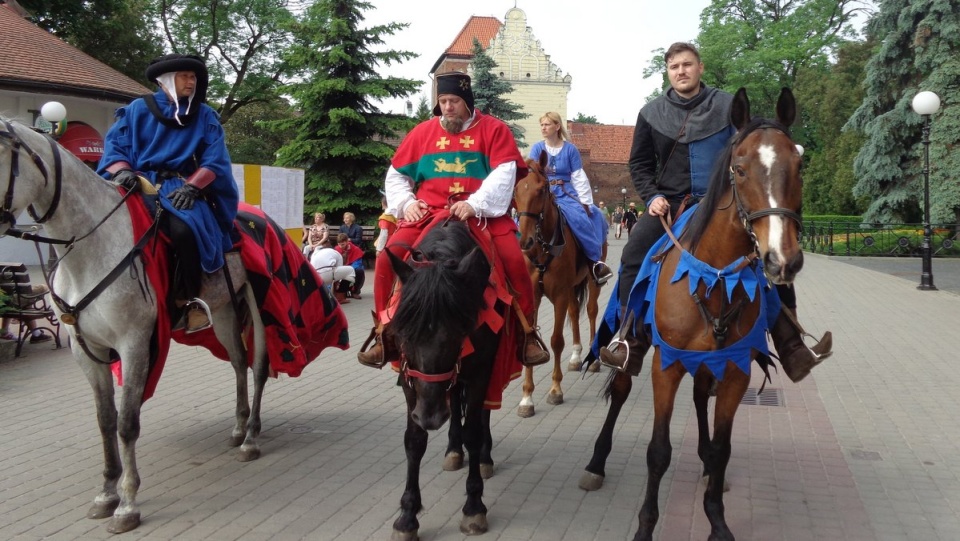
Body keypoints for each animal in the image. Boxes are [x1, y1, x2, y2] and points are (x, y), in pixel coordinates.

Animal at [384, 218, 502, 536]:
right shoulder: (410, 378)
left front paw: (474, 506)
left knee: (482, 414)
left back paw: (484, 458)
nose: (431, 416)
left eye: (459, 332)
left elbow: (473, 430)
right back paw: (453, 449)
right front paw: (408, 515)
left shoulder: (481, 370)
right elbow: (414, 440)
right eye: (404, 333)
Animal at [512, 153, 604, 418]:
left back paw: (593, 358)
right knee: (574, 313)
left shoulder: (560, 295)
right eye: (515, 189)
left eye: (542, 189)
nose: (525, 240)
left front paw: (555, 390)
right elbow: (531, 337)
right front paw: (527, 398)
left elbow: (555, 340)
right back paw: (575, 356)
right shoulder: (535, 295)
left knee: (591, 312)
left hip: (591, 282)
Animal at [580, 88, 808, 540]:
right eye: (739, 168)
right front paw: (645, 526)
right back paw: (596, 462)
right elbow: (658, 451)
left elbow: (722, 449)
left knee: (702, 396)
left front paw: (717, 520)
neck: (714, 276)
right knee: (621, 390)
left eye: (798, 165)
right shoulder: (665, 366)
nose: (781, 260)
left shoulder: (735, 371)